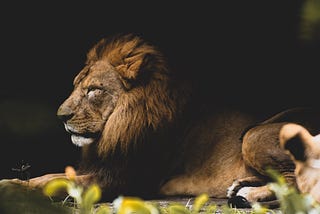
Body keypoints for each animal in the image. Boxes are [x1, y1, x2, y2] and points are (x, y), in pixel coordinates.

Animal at [11, 33, 320, 206]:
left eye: (94, 90)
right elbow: (50, 176)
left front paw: (12, 188)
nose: (61, 116)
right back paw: (239, 187)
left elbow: (54, 181)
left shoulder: (120, 180)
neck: (119, 124)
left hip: (253, 135)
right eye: (76, 86)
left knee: (298, 180)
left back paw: (248, 195)